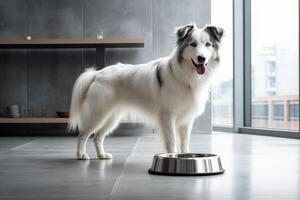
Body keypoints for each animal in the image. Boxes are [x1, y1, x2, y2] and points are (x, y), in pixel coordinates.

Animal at [68, 23, 223, 159]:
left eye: (208, 44)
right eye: (193, 44)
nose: (201, 58)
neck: (185, 75)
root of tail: (97, 74)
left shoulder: (187, 119)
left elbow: (185, 144)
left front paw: (187, 158)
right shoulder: (168, 116)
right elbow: (172, 141)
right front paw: (172, 157)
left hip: (112, 117)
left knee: (98, 137)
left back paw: (102, 155)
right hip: (98, 113)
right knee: (83, 134)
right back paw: (81, 155)